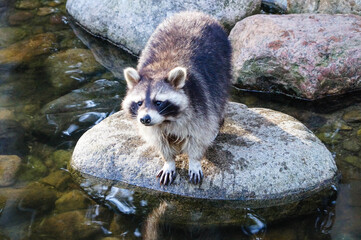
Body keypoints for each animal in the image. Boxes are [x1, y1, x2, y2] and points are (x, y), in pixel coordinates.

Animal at [121, 11, 231, 185]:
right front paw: (169, 162)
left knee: (219, 96)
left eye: (158, 102)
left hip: (223, 63)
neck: (166, 119)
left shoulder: (200, 104)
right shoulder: (153, 128)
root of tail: (193, 12)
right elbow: (160, 143)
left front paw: (194, 161)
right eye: (139, 103)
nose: (144, 119)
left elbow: (199, 137)